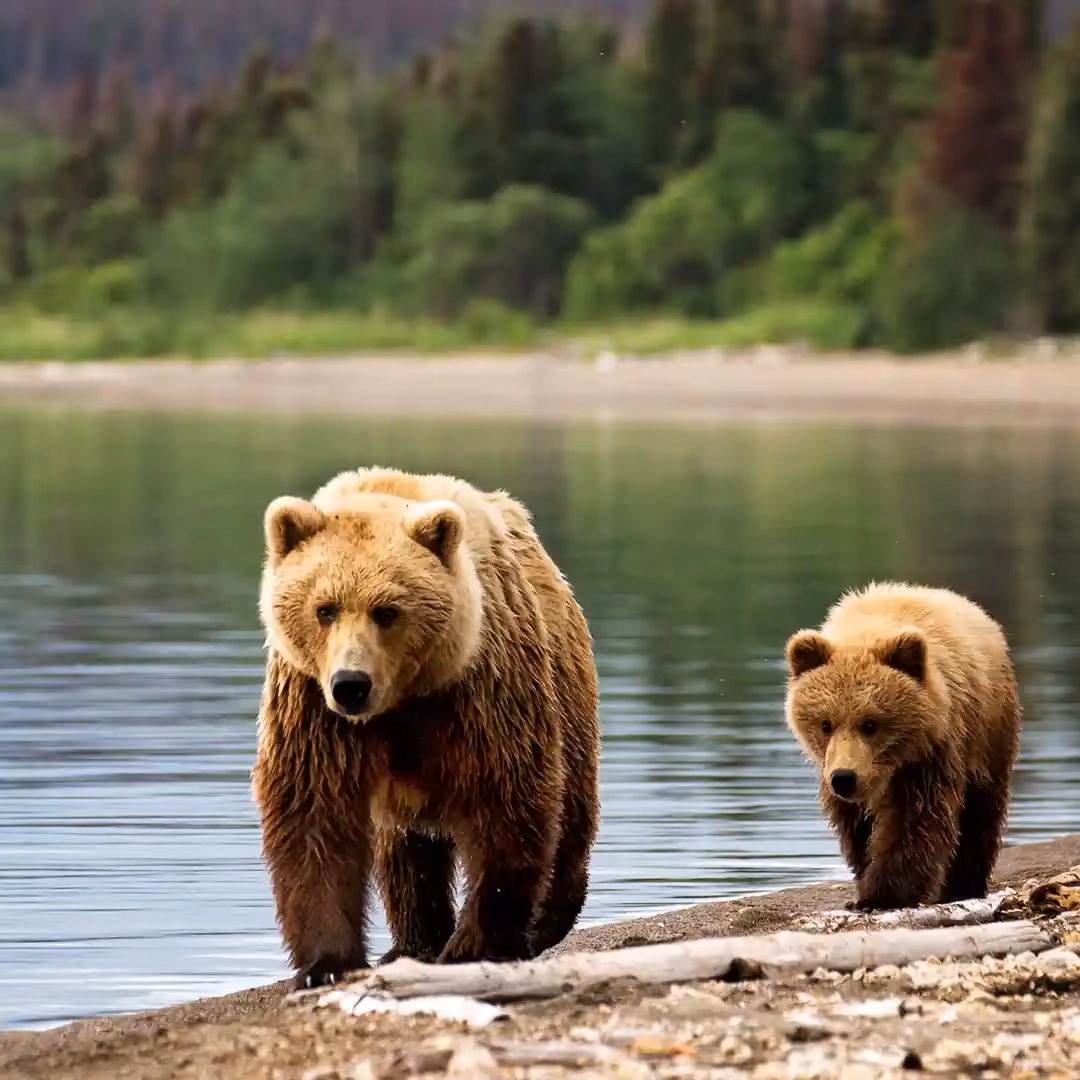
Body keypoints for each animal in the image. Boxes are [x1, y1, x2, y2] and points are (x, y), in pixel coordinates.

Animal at [252, 466, 600, 989]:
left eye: (387, 610)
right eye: (324, 608)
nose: (351, 684)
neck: (403, 698)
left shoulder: (478, 691)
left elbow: (506, 800)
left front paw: (475, 945)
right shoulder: (313, 707)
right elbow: (314, 813)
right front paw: (325, 963)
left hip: (567, 689)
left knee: (569, 813)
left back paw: (546, 919)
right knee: (404, 854)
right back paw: (412, 942)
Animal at [784, 581, 1022, 911]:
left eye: (871, 723)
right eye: (825, 724)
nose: (844, 778)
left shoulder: (930, 755)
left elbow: (914, 820)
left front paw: (883, 895)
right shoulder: (833, 769)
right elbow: (856, 827)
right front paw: (865, 879)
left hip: (989, 734)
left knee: (981, 811)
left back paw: (963, 885)